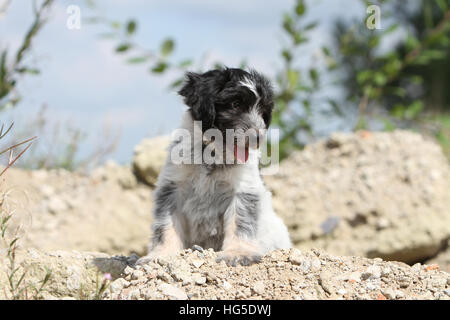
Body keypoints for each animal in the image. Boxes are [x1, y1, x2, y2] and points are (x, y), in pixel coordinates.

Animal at [137, 68, 292, 268]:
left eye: (262, 110)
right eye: (235, 103)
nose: (258, 138)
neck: (211, 154)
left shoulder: (244, 190)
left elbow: (240, 222)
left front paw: (238, 253)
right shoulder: (171, 187)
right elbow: (165, 225)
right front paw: (161, 255)